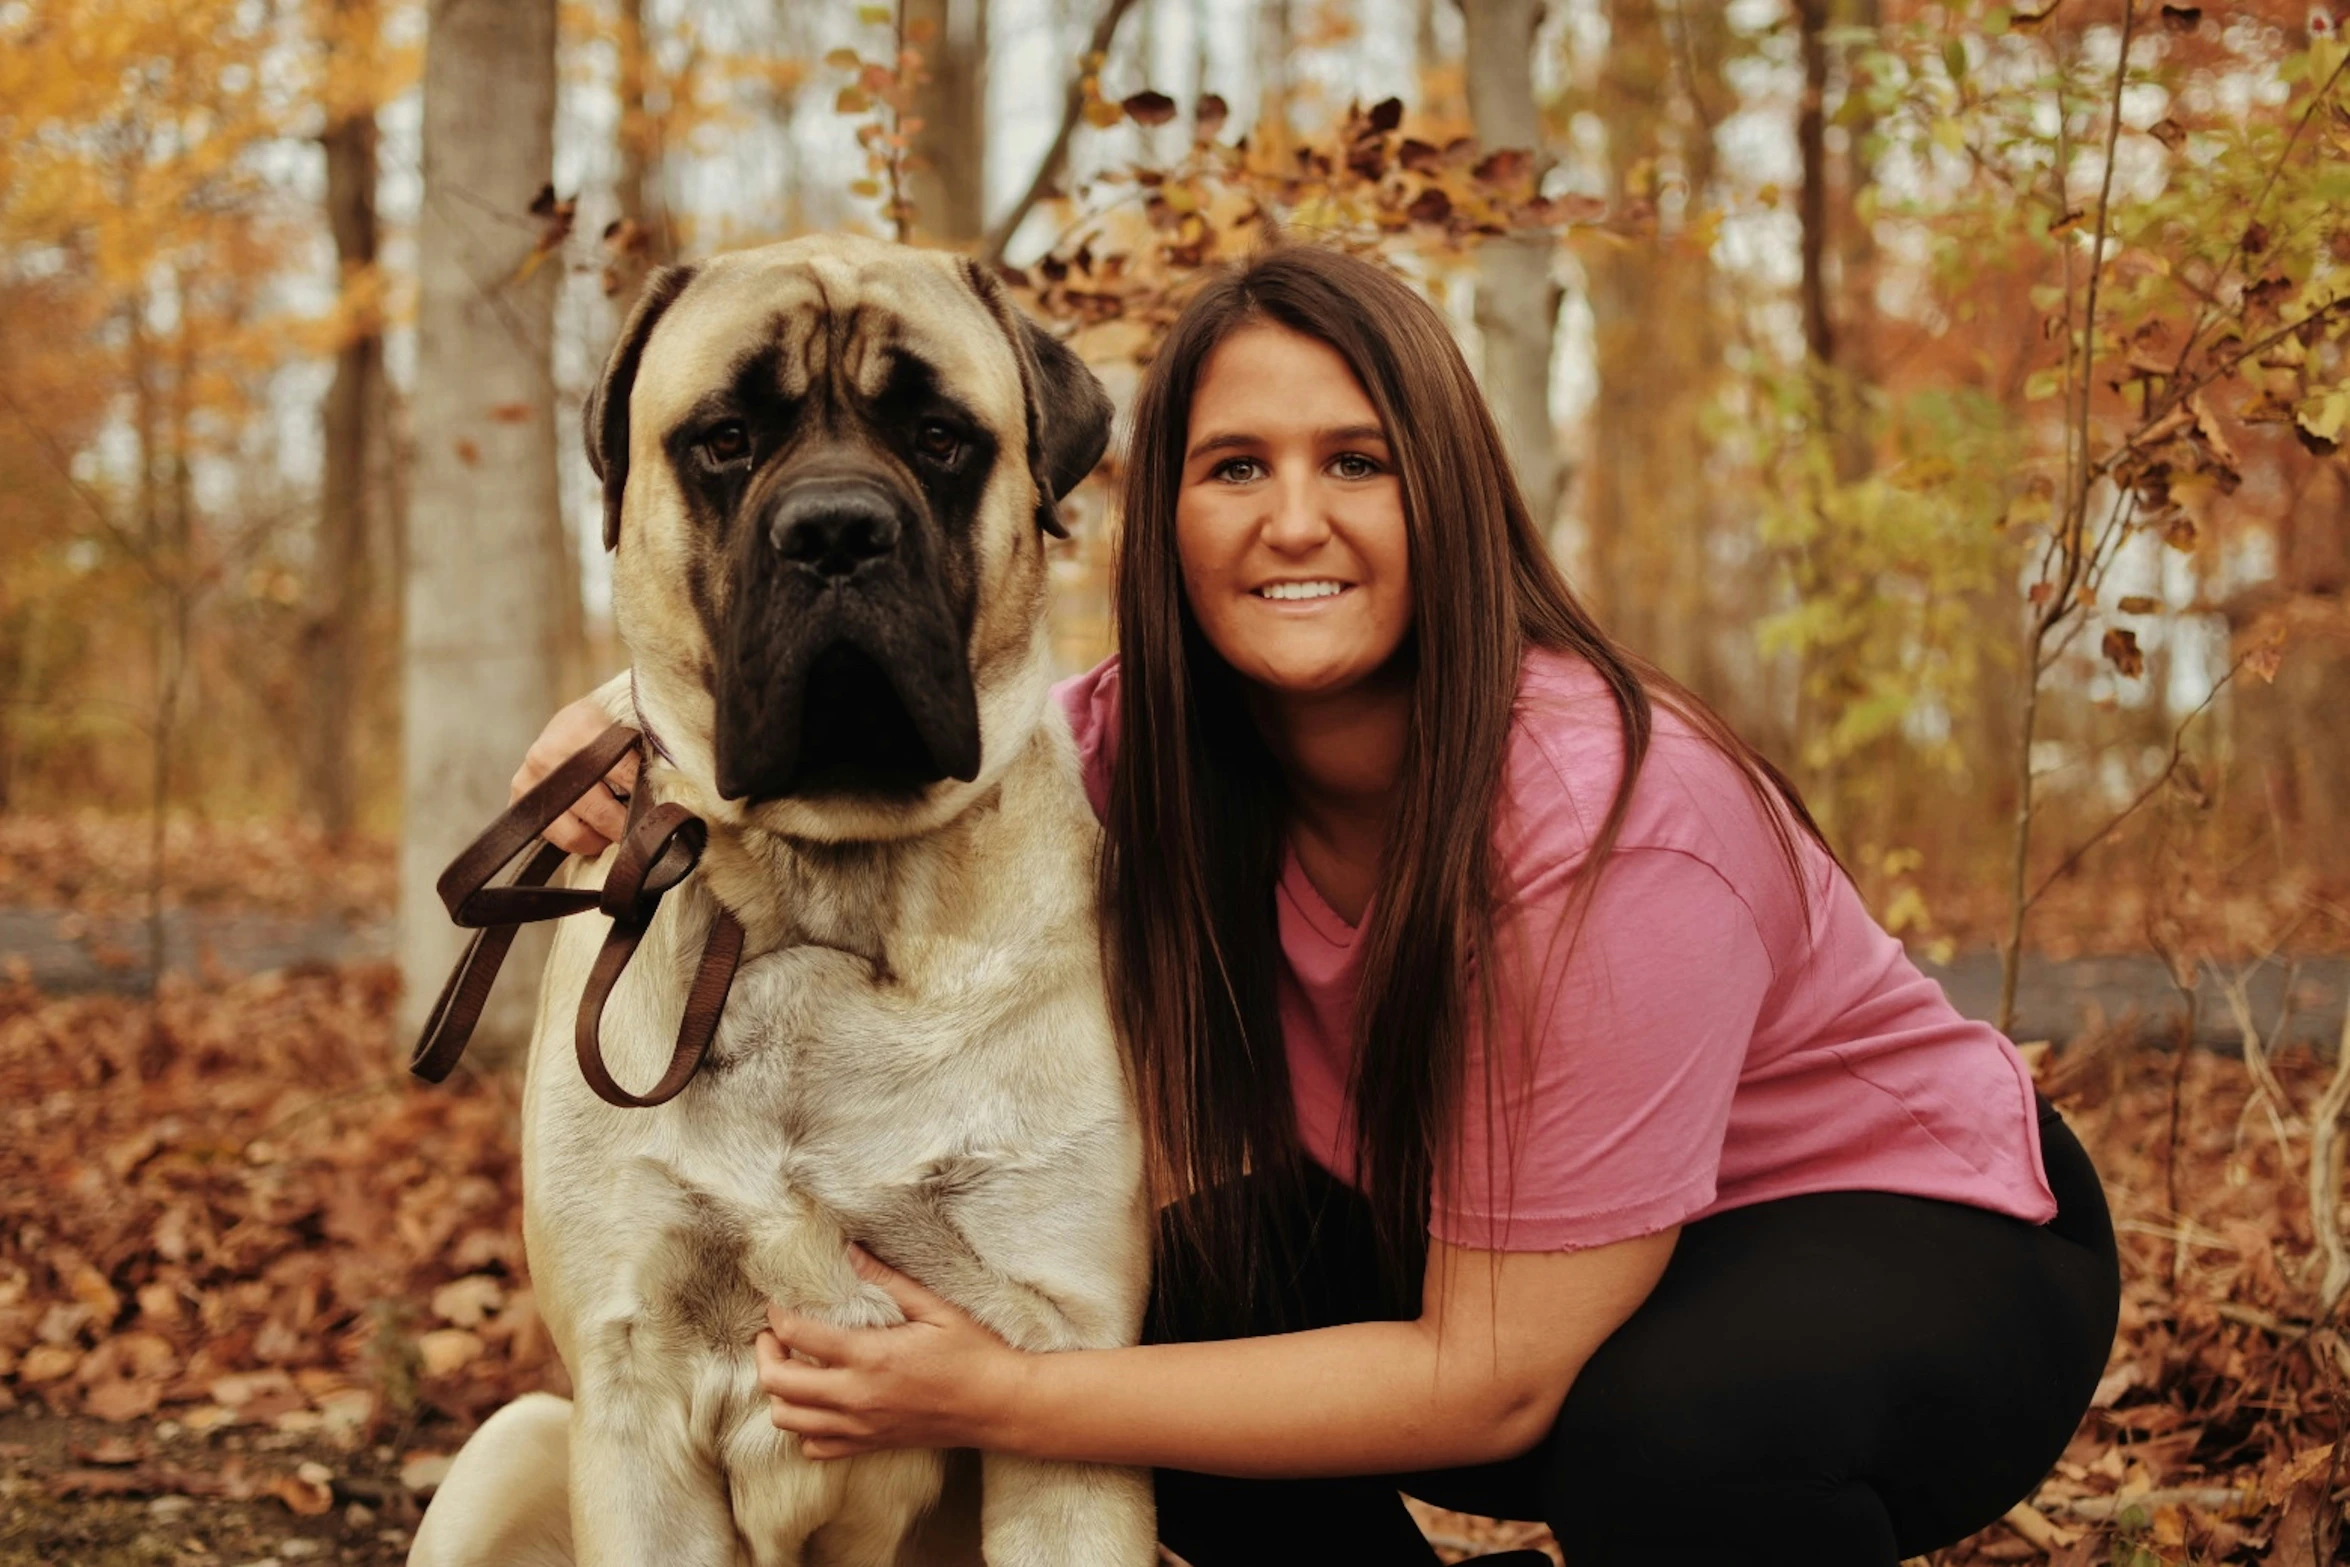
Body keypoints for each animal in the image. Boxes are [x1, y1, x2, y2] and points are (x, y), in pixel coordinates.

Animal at [415, 236, 1165, 1567]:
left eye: (938, 435)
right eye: (724, 438)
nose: (834, 532)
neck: (824, 880)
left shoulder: (1062, 1373)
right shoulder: (629, 1381)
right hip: (511, 1443)